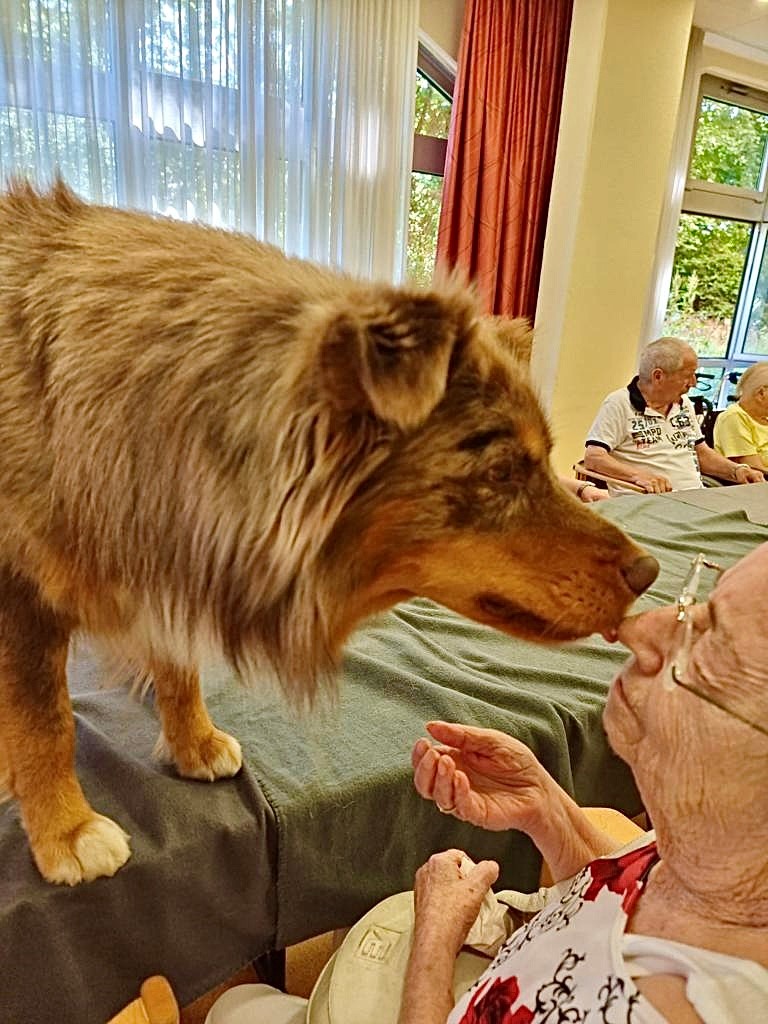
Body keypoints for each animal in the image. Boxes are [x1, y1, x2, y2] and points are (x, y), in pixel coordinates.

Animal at [0, 184, 663, 888]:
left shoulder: (168, 552)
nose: (648, 573)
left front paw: (193, 743)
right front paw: (65, 828)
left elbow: (178, 667)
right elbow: (46, 719)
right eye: (503, 471)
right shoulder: (23, 596)